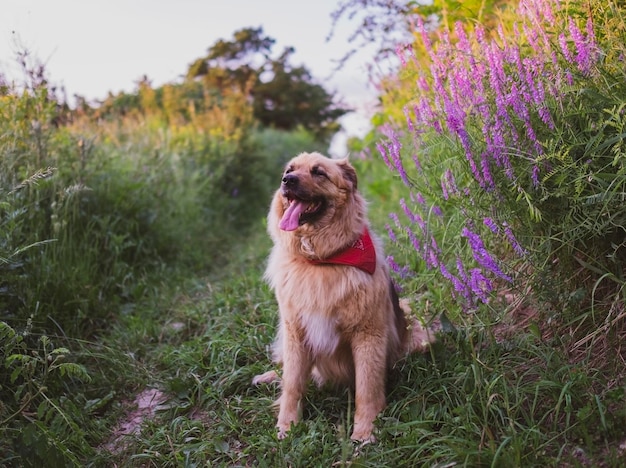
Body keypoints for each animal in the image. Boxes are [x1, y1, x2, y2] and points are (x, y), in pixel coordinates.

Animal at [251, 152, 436, 440]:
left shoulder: (368, 334)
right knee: (284, 369)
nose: (287, 180)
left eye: (319, 172)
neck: (320, 260)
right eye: (290, 169)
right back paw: (267, 377)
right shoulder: (295, 333)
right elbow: (292, 384)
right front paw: (286, 426)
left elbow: (367, 389)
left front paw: (364, 431)